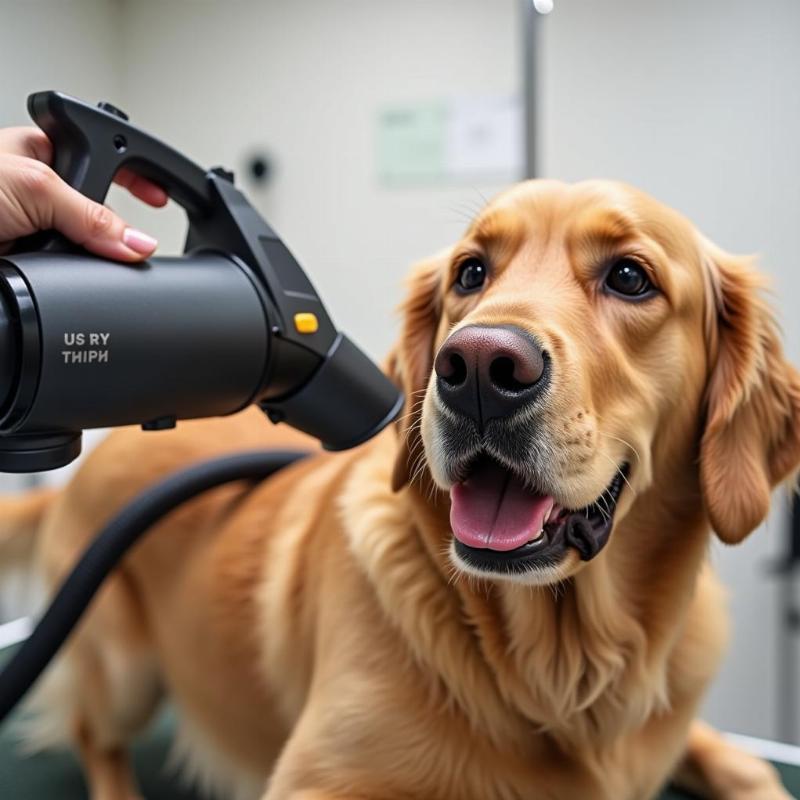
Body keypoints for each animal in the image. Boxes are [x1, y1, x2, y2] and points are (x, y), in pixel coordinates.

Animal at [3, 181, 796, 800]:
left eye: (631, 277)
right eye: (470, 273)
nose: (477, 368)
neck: (564, 670)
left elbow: (738, 760)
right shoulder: (315, 779)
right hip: (123, 666)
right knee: (92, 733)